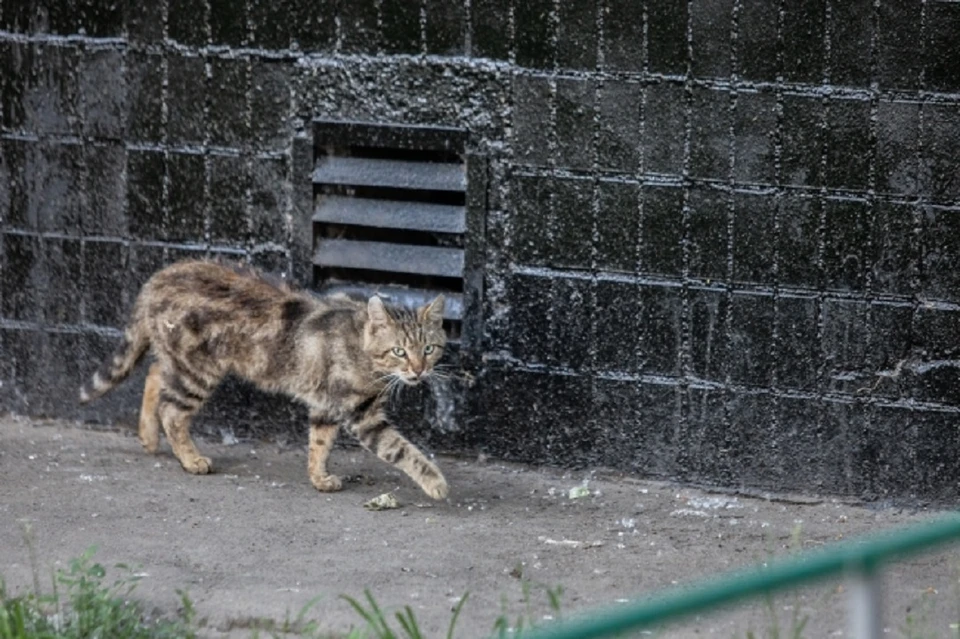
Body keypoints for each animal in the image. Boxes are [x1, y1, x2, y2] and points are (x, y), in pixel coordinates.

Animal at [79, 260, 450, 500]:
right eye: (399, 351)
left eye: (429, 349)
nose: (419, 370)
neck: (364, 352)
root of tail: (156, 278)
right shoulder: (362, 415)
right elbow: (401, 449)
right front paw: (435, 482)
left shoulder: (326, 406)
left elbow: (320, 443)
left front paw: (319, 478)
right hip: (197, 370)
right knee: (171, 410)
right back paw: (189, 458)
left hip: (180, 362)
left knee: (155, 373)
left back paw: (148, 435)